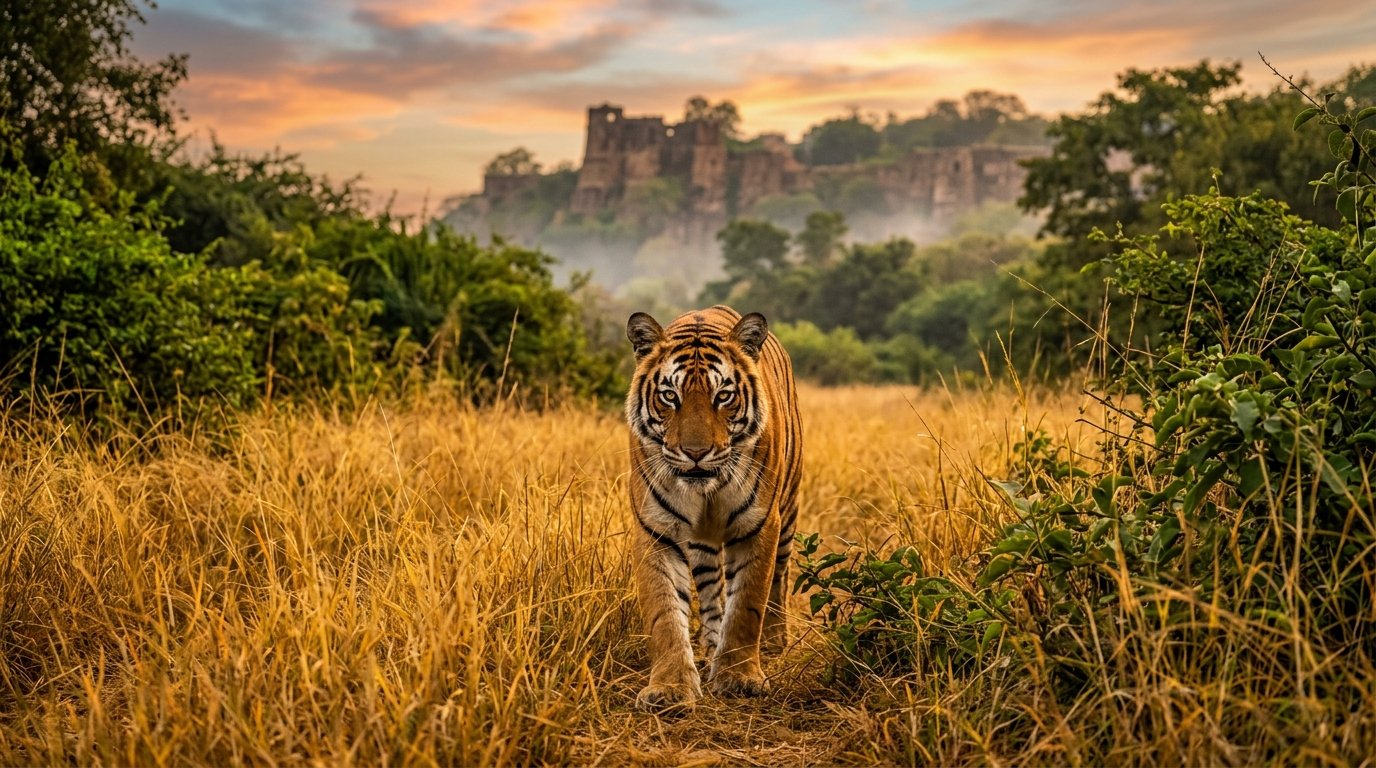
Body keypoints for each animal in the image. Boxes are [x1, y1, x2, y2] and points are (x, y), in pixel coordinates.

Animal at [624, 305, 803, 711]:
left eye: (723, 395)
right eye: (669, 395)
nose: (695, 453)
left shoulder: (759, 525)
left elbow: (748, 604)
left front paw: (739, 678)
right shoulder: (656, 530)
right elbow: (664, 613)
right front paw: (670, 687)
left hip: (788, 512)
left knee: (780, 578)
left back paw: (774, 640)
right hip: (701, 544)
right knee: (710, 590)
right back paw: (709, 646)